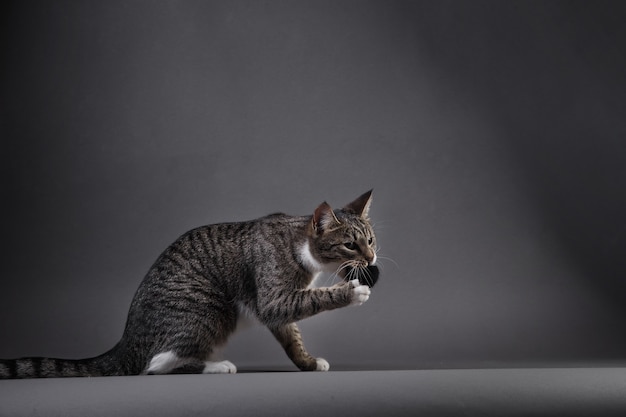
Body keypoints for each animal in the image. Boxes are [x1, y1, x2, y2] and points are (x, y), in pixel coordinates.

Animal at [0, 190, 376, 378]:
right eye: (350, 245)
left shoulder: (277, 311)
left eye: (371, 240)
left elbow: (292, 337)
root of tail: (126, 340)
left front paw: (308, 363)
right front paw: (351, 292)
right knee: (156, 364)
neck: (299, 245)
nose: (371, 259)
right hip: (212, 307)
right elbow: (310, 299)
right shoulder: (273, 298)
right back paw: (216, 366)